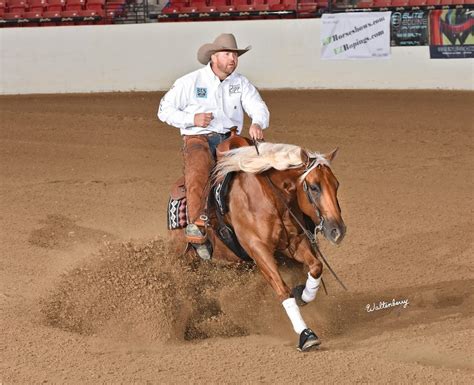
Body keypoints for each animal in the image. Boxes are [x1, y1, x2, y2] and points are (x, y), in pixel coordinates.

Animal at [170, 142, 344, 352]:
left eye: (336, 185)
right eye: (314, 187)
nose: (338, 230)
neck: (270, 198)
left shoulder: (294, 243)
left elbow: (316, 267)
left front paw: (302, 294)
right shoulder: (259, 250)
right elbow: (282, 289)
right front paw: (306, 335)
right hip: (184, 260)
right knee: (186, 291)